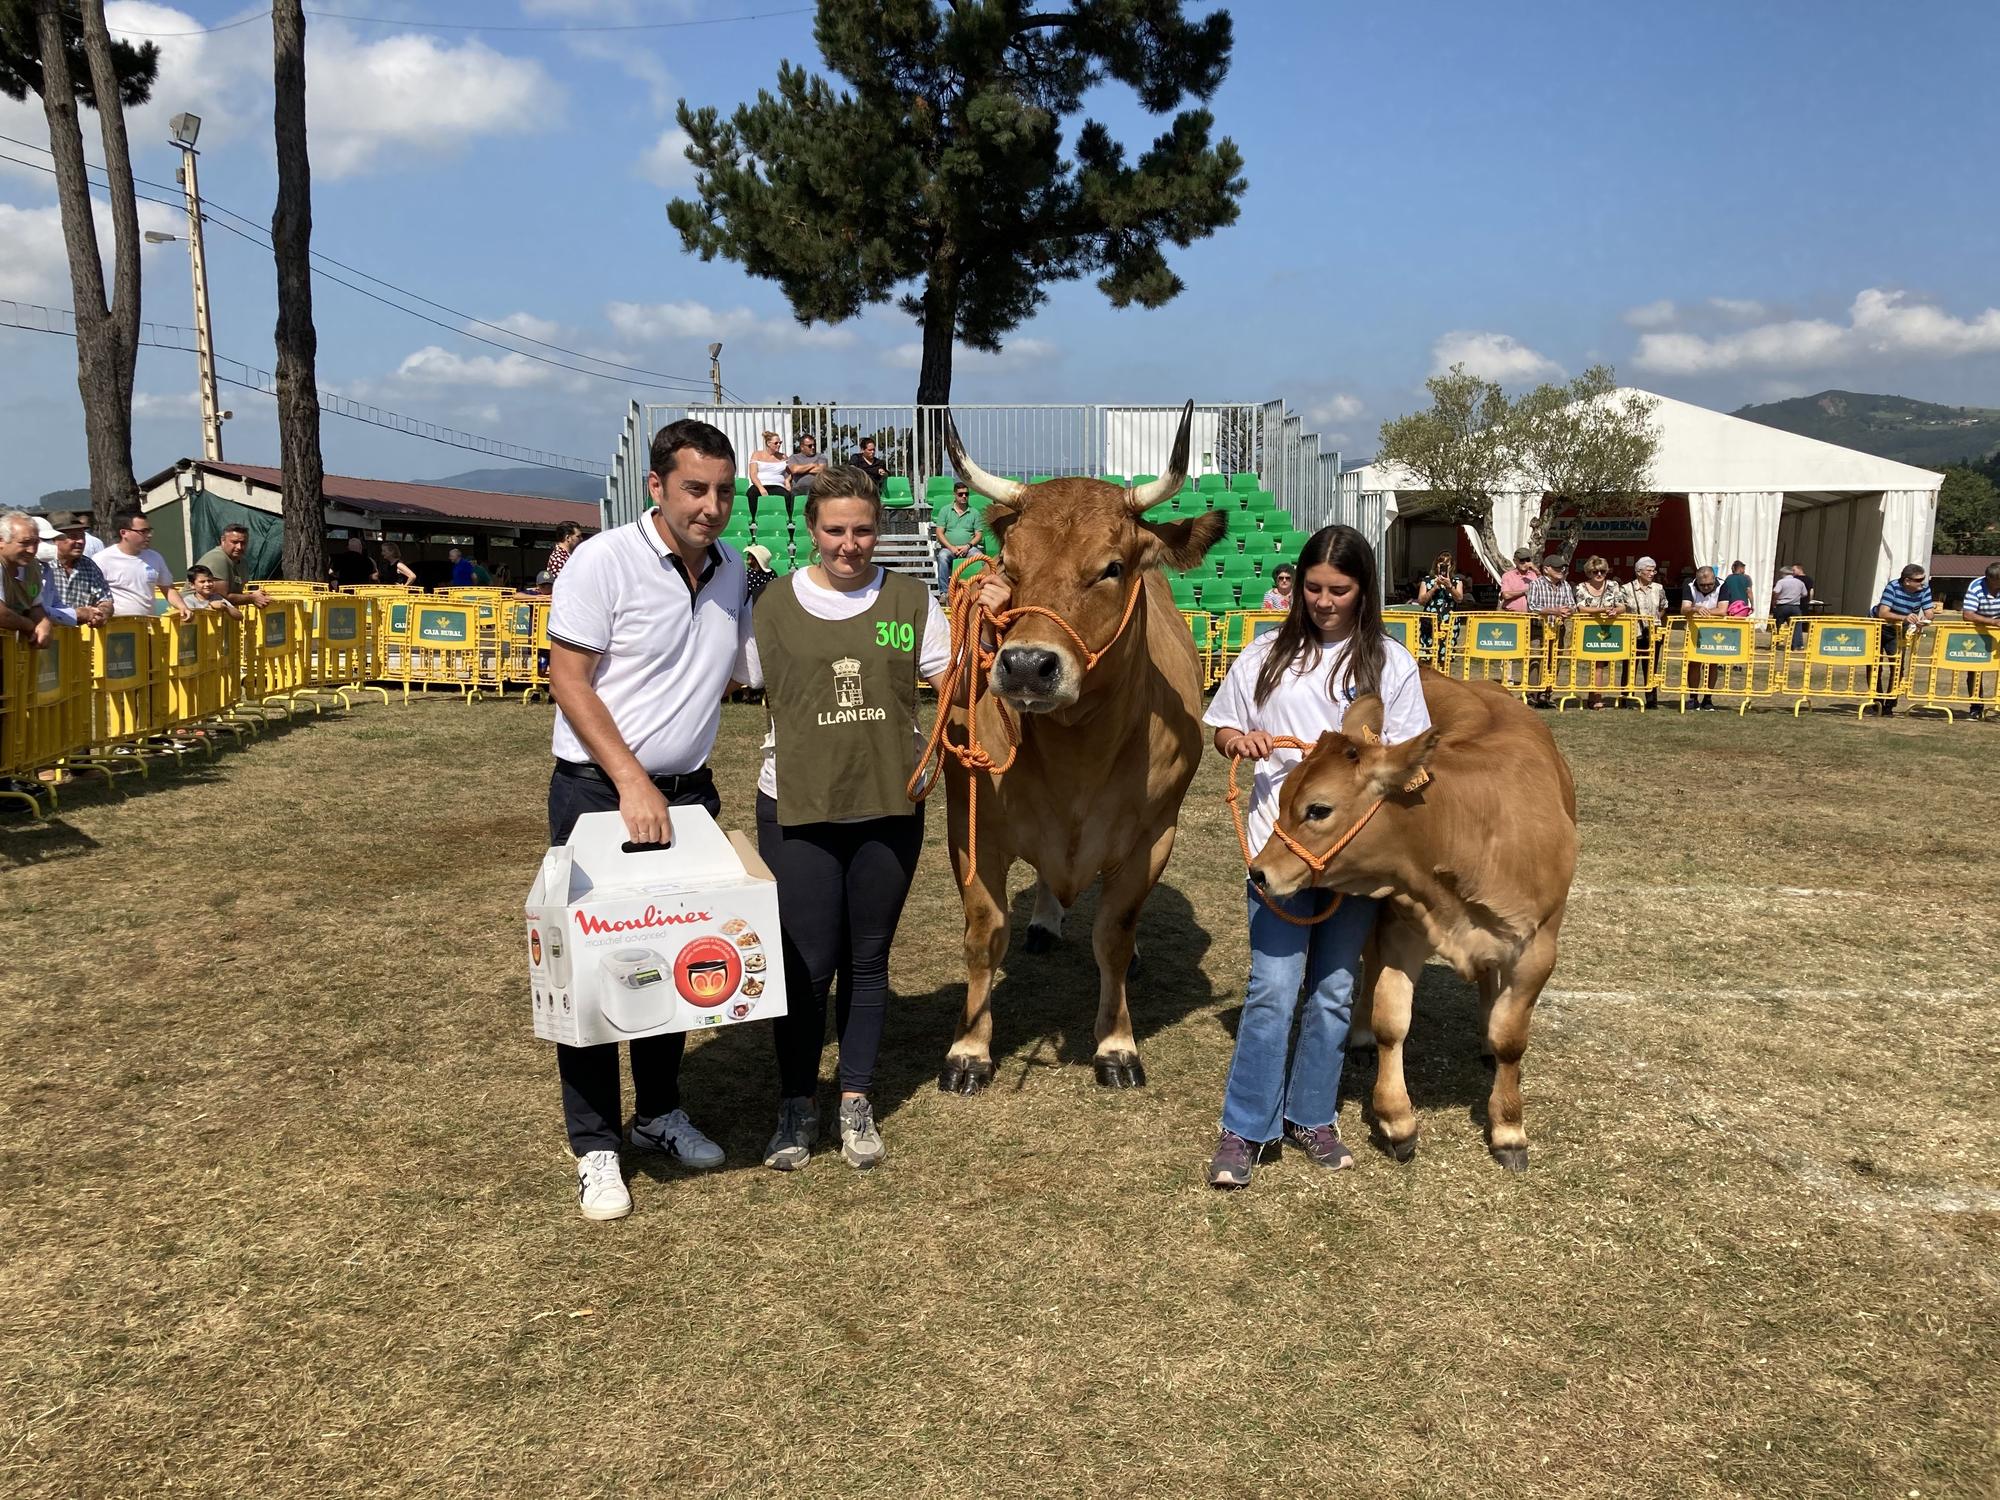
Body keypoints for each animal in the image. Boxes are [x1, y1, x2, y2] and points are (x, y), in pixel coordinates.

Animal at [940, 406, 1232, 1096]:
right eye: (1008, 565)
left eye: (1112, 568)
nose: (1026, 665)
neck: (1077, 754)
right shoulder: (971, 828)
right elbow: (983, 932)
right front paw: (969, 1049)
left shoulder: (1153, 835)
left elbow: (1115, 936)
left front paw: (1116, 1043)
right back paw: (1046, 921)